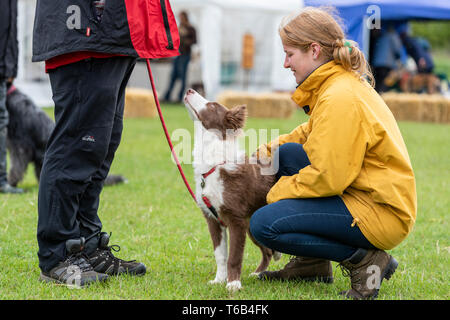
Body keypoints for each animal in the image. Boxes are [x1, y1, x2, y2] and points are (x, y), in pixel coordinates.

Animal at [182, 89, 280, 292]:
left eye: (212, 106)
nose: (189, 90)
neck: (214, 164)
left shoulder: (236, 220)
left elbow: (234, 256)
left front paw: (233, 284)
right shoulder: (212, 219)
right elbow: (220, 255)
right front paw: (219, 280)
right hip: (253, 226)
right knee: (267, 251)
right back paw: (258, 273)